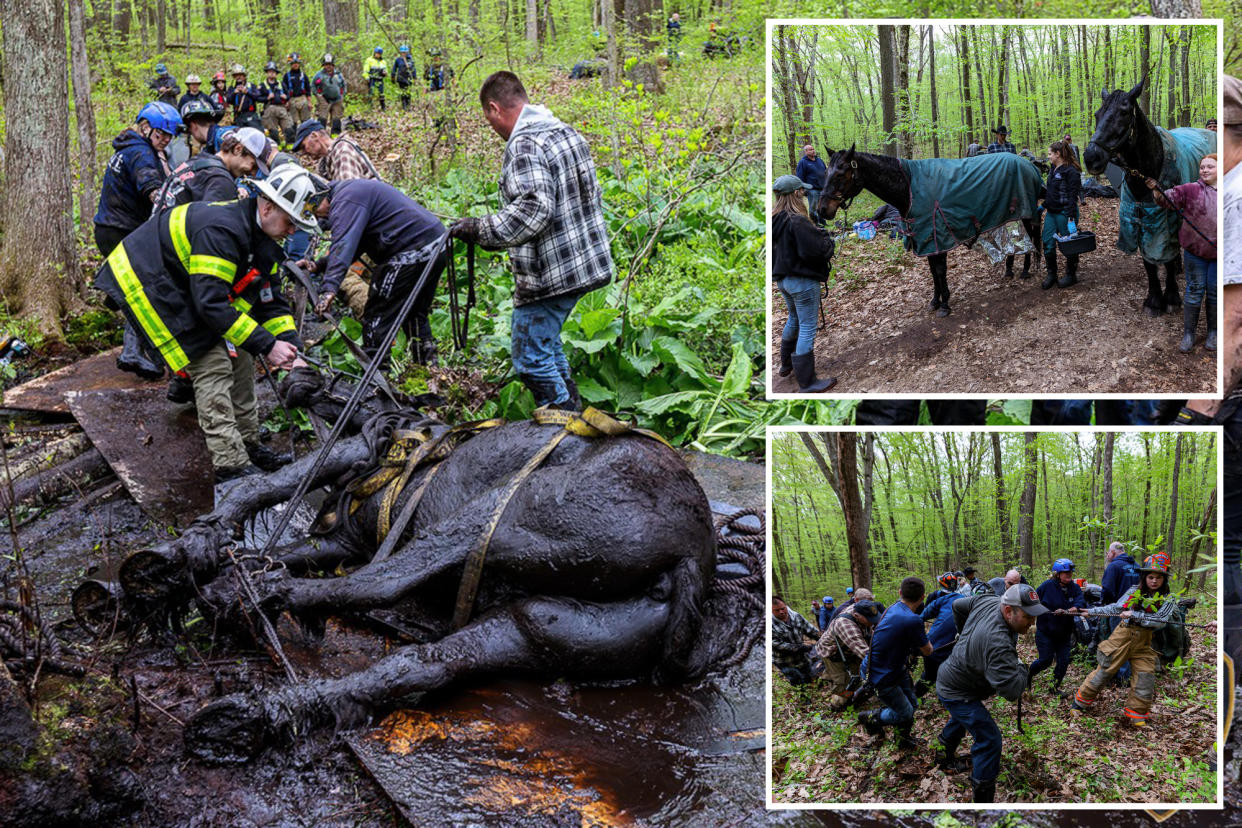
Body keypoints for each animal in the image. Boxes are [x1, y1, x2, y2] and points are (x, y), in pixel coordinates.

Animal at [87, 372, 760, 769]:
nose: (289, 369)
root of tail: (695, 554)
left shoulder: (347, 459)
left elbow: (260, 488)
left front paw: (185, 560)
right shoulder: (340, 538)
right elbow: (295, 540)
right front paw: (175, 575)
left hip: (504, 513)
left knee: (385, 582)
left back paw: (258, 601)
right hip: (544, 627)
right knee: (425, 663)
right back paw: (257, 715)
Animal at [814, 144, 1048, 315]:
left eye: (840, 174)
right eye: (825, 173)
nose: (822, 210)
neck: (909, 188)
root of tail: (1030, 165)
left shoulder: (938, 237)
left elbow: (940, 270)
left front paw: (945, 305)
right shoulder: (925, 239)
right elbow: (933, 272)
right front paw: (935, 301)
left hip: (1026, 213)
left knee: (1030, 237)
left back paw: (1026, 270)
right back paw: (1010, 270)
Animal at [1083, 78, 1217, 317]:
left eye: (1124, 112)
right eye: (1097, 114)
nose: (1091, 158)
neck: (1146, 173)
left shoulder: (1167, 218)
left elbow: (1168, 256)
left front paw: (1171, 297)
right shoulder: (1140, 219)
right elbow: (1149, 262)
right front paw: (1154, 299)